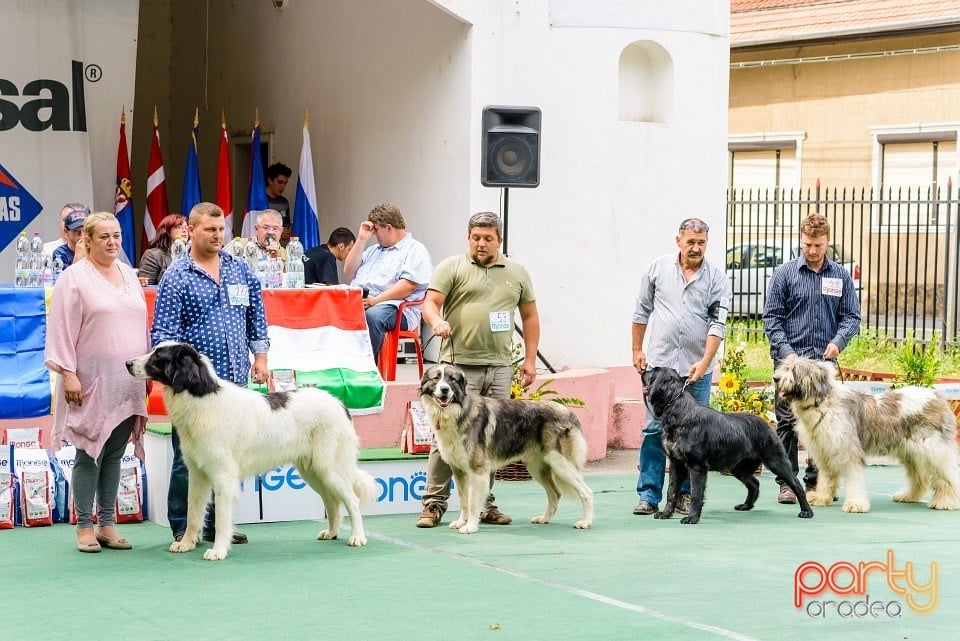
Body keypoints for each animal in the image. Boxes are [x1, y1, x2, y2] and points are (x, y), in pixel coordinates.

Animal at [126, 342, 378, 556]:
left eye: (158, 357)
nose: (127, 363)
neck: (202, 397)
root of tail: (339, 403)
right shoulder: (197, 474)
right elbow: (193, 513)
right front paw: (186, 543)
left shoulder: (223, 476)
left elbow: (221, 519)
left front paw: (218, 550)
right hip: (314, 471)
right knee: (332, 500)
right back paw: (332, 532)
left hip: (330, 468)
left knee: (352, 500)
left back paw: (357, 537)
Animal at [420, 362, 592, 532]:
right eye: (436, 378)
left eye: (452, 380)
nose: (444, 389)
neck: (458, 412)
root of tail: (568, 412)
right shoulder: (459, 471)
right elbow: (464, 501)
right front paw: (461, 522)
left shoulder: (477, 470)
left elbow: (473, 502)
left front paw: (470, 527)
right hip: (537, 467)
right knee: (555, 494)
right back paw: (544, 519)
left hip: (561, 464)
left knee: (586, 492)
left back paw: (585, 522)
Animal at [640, 368, 812, 524]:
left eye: (652, 372)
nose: (643, 371)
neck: (679, 411)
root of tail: (766, 424)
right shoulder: (676, 464)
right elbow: (671, 491)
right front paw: (666, 513)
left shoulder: (697, 466)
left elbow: (696, 494)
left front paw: (692, 518)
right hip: (738, 467)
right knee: (754, 484)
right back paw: (746, 505)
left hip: (776, 461)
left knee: (796, 484)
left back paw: (806, 511)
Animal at [776, 358, 956, 512]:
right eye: (785, 367)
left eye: (793, 370)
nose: (775, 378)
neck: (822, 402)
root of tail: (938, 397)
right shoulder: (825, 452)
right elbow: (826, 479)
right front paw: (821, 498)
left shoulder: (848, 451)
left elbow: (854, 479)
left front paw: (855, 504)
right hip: (910, 451)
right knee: (919, 478)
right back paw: (907, 496)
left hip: (932, 448)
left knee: (946, 475)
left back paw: (944, 502)